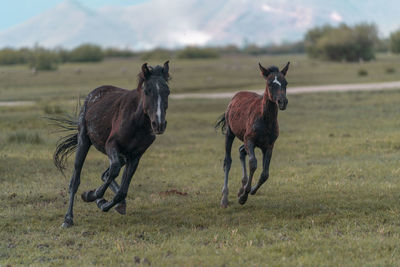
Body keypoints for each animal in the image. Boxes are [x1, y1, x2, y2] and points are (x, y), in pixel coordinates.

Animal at [50, 61, 170, 228]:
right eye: (147, 91)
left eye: (168, 92)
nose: (159, 124)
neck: (136, 121)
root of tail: (93, 94)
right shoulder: (111, 145)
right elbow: (113, 172)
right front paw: (91, 195)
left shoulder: (135, 156)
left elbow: (122, 191)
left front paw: (106, 203)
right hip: (84, 141)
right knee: (75, 180)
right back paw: (68, 219)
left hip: (122, 156)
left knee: (105, 174)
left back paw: (118, 204)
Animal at [216, 62, 290, 207]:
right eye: (269, 83)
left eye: (285, 83)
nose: (282, 102)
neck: (265, 119)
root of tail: (235, 97)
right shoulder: (249, 140)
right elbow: (253, 163)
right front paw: (243, 196)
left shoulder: (269, 145)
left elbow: (265, 174)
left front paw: (248, 191)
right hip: (230, 133)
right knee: (228, 161)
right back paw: (225, 198)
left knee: (241, 151)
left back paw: (241, 186)